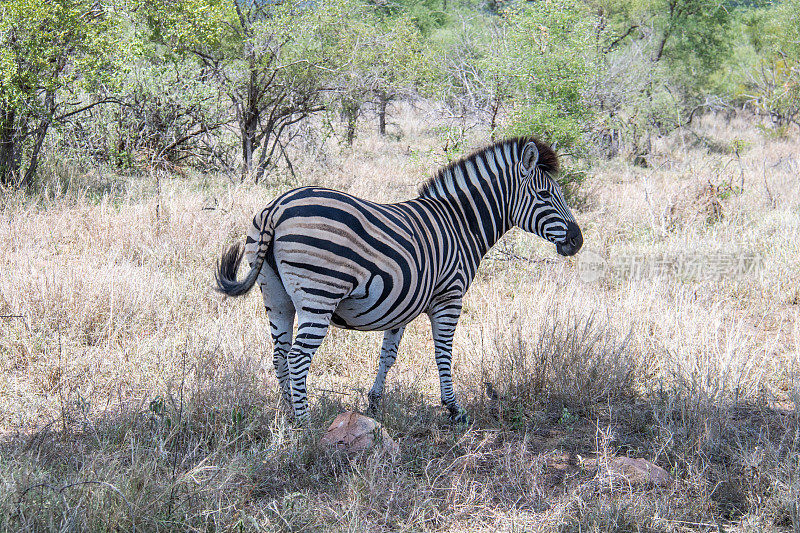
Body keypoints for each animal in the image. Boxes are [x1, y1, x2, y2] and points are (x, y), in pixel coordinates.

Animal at [216, 137, 584, 424]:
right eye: (545, 194)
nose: (577, 241)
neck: (460, 224)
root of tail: (276, 208)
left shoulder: (402, 303)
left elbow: (388, 355)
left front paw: (374, 403)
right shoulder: (449, 297)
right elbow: (443, 353)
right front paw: (454, 409)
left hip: (276, 296)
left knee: (280, 355)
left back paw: (287, 414)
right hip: (318, 295)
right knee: (297, 358)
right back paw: (306, 426)